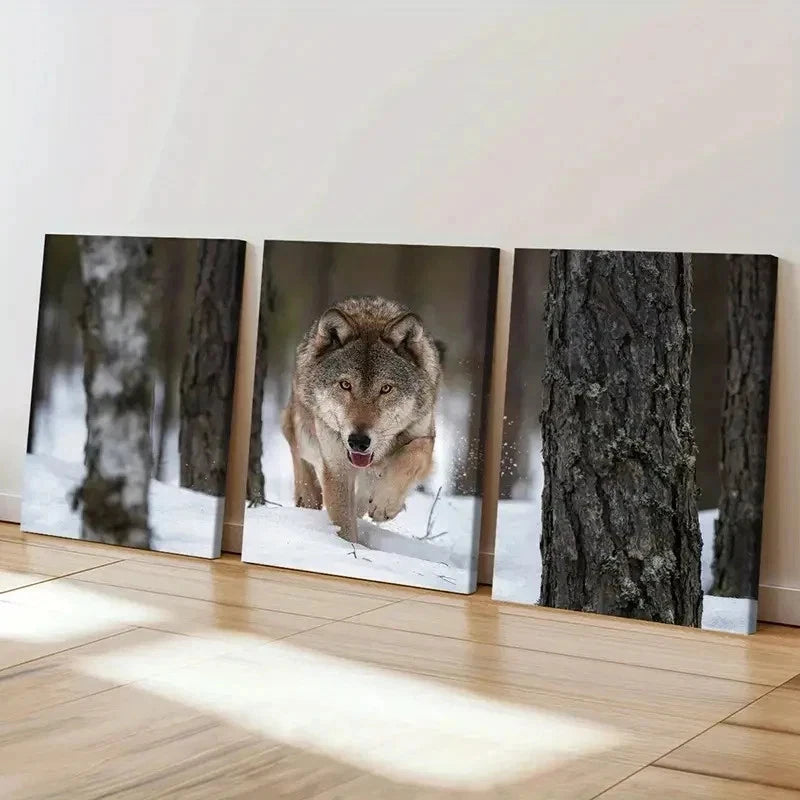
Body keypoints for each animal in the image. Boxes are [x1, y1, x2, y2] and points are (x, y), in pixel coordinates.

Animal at [281, 295, 443, 542]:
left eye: (385, 389)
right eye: (345, 385)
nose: (358, 441)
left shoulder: (424, 434)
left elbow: (414, 453)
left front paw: (385, 504)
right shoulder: (337, 468)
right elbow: (344, 525)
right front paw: (348, 548)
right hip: (304, 433)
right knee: (297, 450)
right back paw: (307, 494)